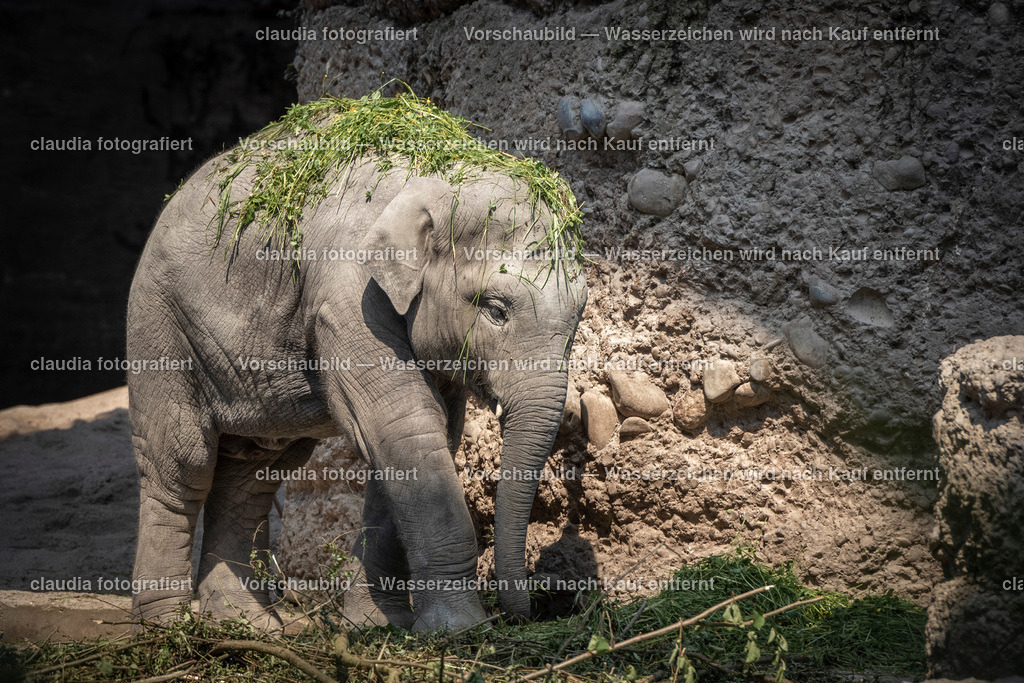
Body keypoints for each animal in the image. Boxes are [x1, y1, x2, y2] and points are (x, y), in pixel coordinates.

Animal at [126, 100, 587, 632]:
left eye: (580, 315)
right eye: (496, 310)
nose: (527, 614)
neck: (438, 176)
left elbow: (421, 436)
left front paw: (379, 626)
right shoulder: (348, 295)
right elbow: (404, 425)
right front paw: (461, 630)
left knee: (253, 472)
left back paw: (248, 626)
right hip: (159, 322)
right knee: (184, 461)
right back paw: (168, 629)